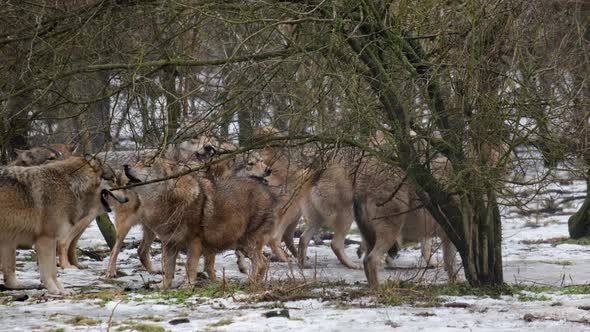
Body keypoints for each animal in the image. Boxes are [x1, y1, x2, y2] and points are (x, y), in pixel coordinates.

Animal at [0, 156, 125, 294]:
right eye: (113, 180)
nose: (126, 199)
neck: (71, 186)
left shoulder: (46, 240)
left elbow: (53, 271)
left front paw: (62, 291)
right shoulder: (45, 239)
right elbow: (47, 272)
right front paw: (55, 291)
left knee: (10, 277)